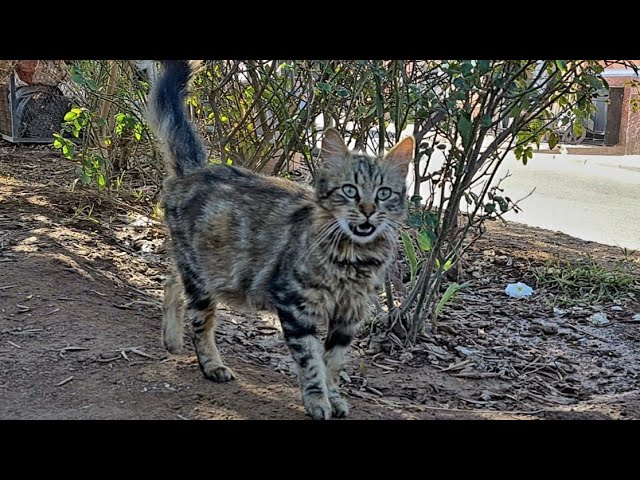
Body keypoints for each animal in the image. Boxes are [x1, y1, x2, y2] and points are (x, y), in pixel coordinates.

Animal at [146, 61, 416, 420]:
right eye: (350, 190)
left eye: (383, 193)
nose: (369, 212)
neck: (353, 259)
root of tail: (196, 170)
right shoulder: (296, 306)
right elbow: (312, 363)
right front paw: (317, 402)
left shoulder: (349, 315)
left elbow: (332, 364)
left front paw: (334, 398)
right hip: (204, 277)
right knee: (200, 322)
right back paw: (212, 365)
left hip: (204, 270)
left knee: (171, 281)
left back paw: (172, 339)